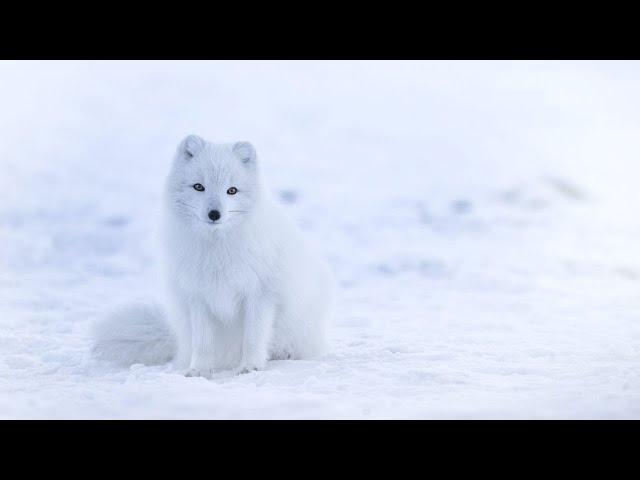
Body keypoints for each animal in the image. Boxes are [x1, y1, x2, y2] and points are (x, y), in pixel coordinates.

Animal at [94, 134, 340, 376]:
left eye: (231, 190)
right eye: (198, 187)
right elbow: (203, 342)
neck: (217, 249)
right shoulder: (198, 296)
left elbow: (253, 337)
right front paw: (199, 370)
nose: (214, 214)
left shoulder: (260, 294)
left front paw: (251, 366)